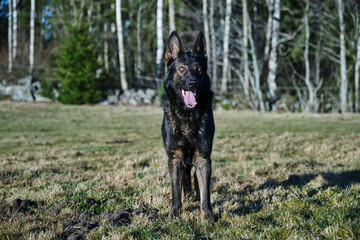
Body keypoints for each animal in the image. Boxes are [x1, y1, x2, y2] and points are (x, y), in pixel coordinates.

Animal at [160, 31, 214, 220]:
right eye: (182, 69)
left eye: (199, 69)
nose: (193, 83)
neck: (187, 115)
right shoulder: (175, 159)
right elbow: (176, 191)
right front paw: (175, 213)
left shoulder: (203, 158)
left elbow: (205, 191)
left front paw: (207, 214)